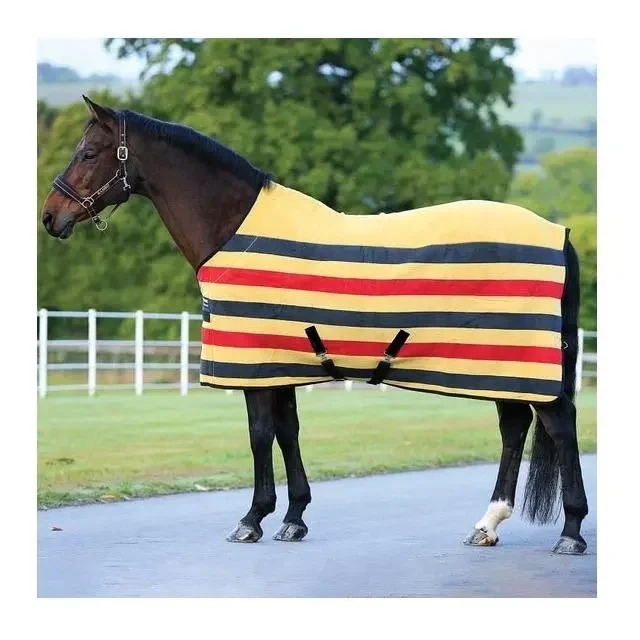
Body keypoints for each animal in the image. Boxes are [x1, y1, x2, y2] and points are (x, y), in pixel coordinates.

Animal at [41, 96, 589, 554]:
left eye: (89, 152)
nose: (50, 217)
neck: (236, 229)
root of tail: (557, 233)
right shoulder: (279, 364)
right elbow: (288, 433)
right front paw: (294, 518)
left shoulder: (255, 364)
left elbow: (260, 435)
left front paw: (252, 520)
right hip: (501, 365)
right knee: (515, 427)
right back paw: (487, 525)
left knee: (559, 428)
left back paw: (571, 532)